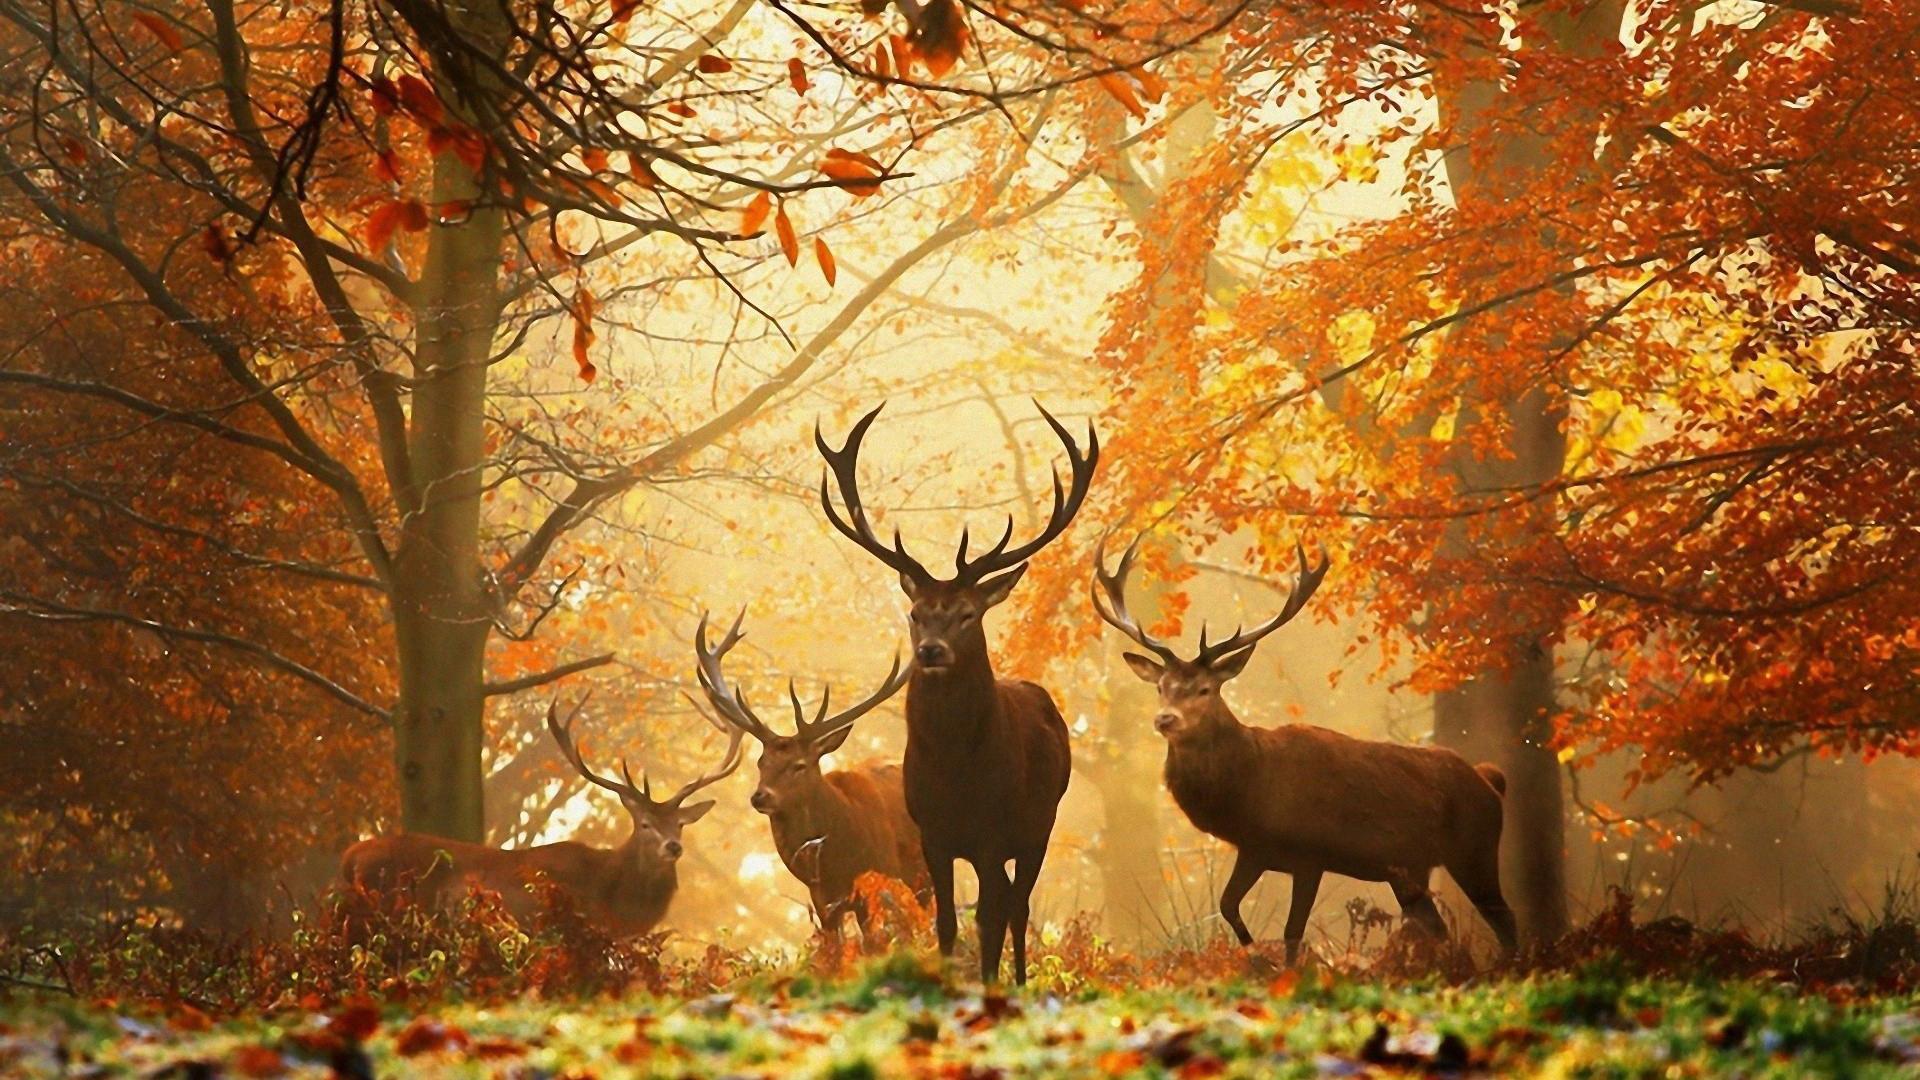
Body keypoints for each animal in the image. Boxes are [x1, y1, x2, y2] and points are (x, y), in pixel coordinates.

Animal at [692, 612, 930, 949]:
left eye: (799, 765)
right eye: (761, 762)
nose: (760, 796)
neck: (838, 860)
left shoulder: (880, 879)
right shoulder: (822, 900)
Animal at [816, 401, 1095, 985]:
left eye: (968, 614)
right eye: (916, 613)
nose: (931, 651)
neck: (956, 775)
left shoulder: (993, 831)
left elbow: (988, 918)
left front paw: (989, 985)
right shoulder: (933, 834)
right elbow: (945, 921)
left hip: (1040, 824)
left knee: (1017, 906)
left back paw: (1018, 981)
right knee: (1008, 902)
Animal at [1091, 536, 1518, 966]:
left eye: (1204, 689)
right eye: (1161, 686)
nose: (1165, 719)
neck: (1250, 790)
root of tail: (1490, 780)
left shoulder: (1311, 854)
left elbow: (1292, 931)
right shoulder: (1254, 849)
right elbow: (1228, 905)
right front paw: (1256, 958)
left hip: (1475, 848)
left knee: (1505, 918)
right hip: (1410, 870)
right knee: (1438, 927)